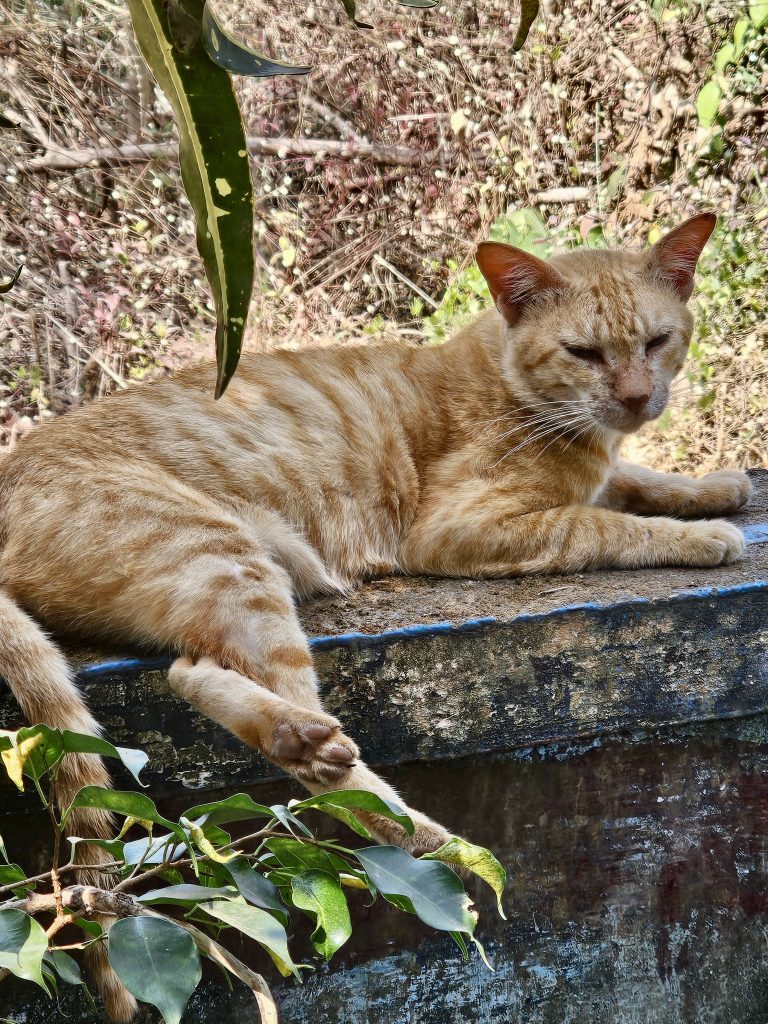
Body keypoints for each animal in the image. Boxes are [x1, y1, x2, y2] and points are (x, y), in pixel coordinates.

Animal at [0, 209, 753, 1015]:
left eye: (656, 341)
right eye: (583, 352)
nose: (639, 397)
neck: (509, 381)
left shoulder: (601, 469)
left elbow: (634, 479)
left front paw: (715, 486)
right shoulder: (463, 525)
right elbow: (605, 524)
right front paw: (705, 535)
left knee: (188, 671)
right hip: (225, 558)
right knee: (329, 789)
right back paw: (430, 837)